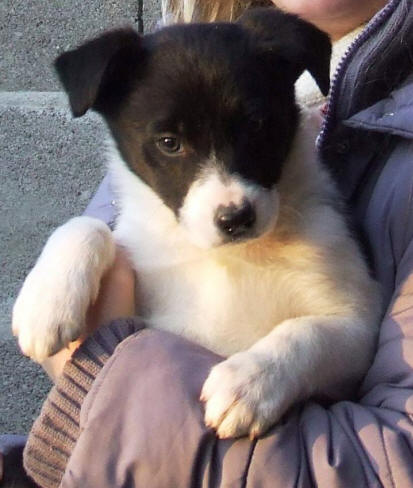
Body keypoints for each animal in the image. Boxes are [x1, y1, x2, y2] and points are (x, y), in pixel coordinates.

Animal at [12, 8, 380, 438]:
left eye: (256, 125)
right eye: (169, 143)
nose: (236, 218)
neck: (227, 257)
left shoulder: (356, 327)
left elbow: (306, 333)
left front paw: (248, 382)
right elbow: (87, 226)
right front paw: (45, 305)